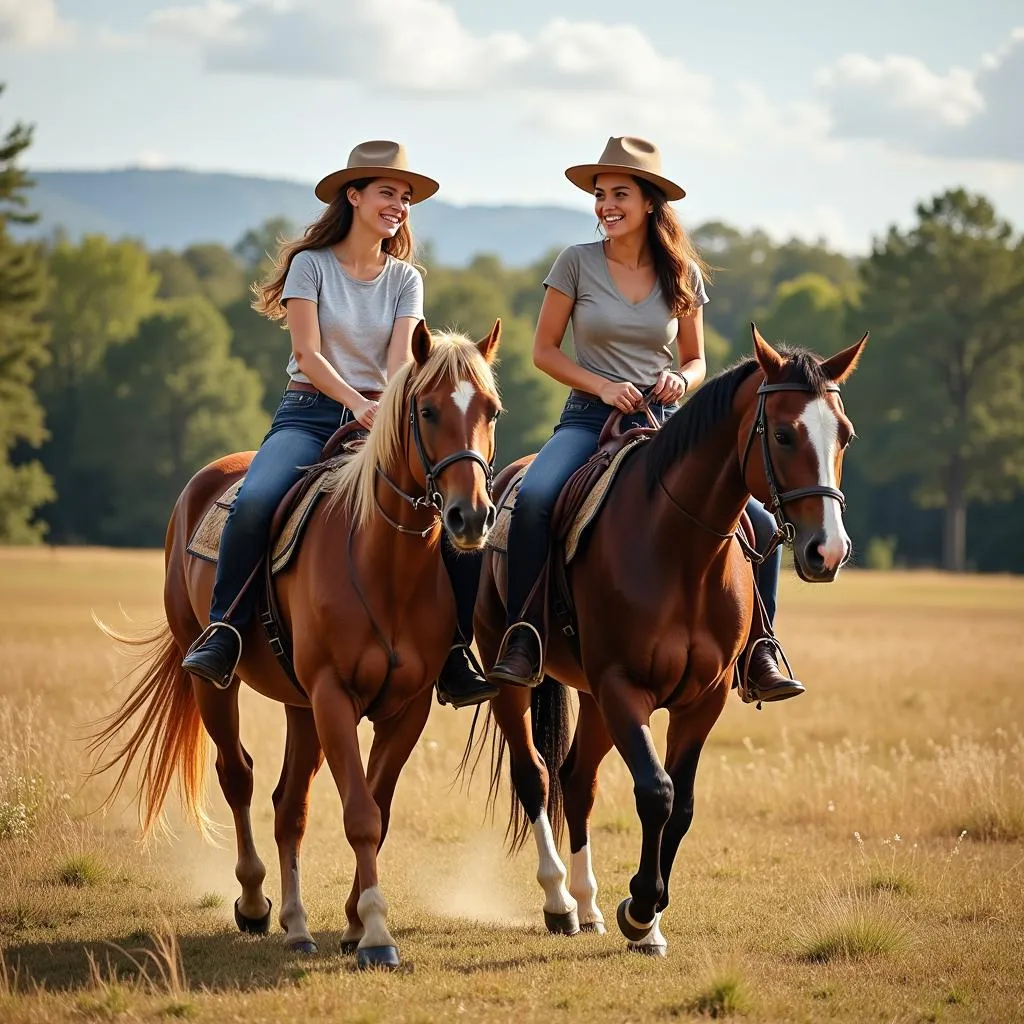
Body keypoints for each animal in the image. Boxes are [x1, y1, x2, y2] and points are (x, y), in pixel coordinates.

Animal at [86, 323, 501, 970]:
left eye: (491, 411)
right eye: (428, 410)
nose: (470, 516)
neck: (385, 564)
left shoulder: (405, 709)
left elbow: (375, 811)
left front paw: (354, 925)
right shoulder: (333, 697)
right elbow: (359, 815)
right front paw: (375, 934)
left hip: (299, 707)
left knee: (289, 807)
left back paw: (297, 923)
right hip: (217, 686)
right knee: (239, 777)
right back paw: (256, 904)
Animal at [462, 329, 864, 958]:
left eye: (843, 434)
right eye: (782, 433)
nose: (828, 551)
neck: (682, 552)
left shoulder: (703, 699)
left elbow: (684, 805)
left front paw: (646, 919)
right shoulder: (624, 687)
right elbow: (656, 791)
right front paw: (640, 910)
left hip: (594, 700)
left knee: (576, 780)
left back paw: (588, 905)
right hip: (517, 684)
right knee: (536, 776)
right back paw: (560, 901)